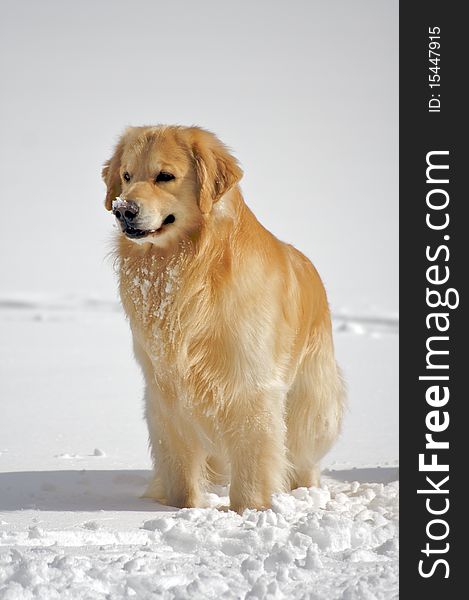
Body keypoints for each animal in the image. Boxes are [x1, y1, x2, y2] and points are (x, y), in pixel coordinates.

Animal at [102, 125, 344, 510]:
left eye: (165, 176)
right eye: (126, 176)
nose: (123, 209)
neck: (192, 270)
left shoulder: (250, 387)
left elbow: (253, 463)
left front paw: (249, 510)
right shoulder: (165, 391)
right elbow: (180, 470)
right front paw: (185, 509)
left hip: (311, 397)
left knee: (304, 451)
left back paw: (305, 491)